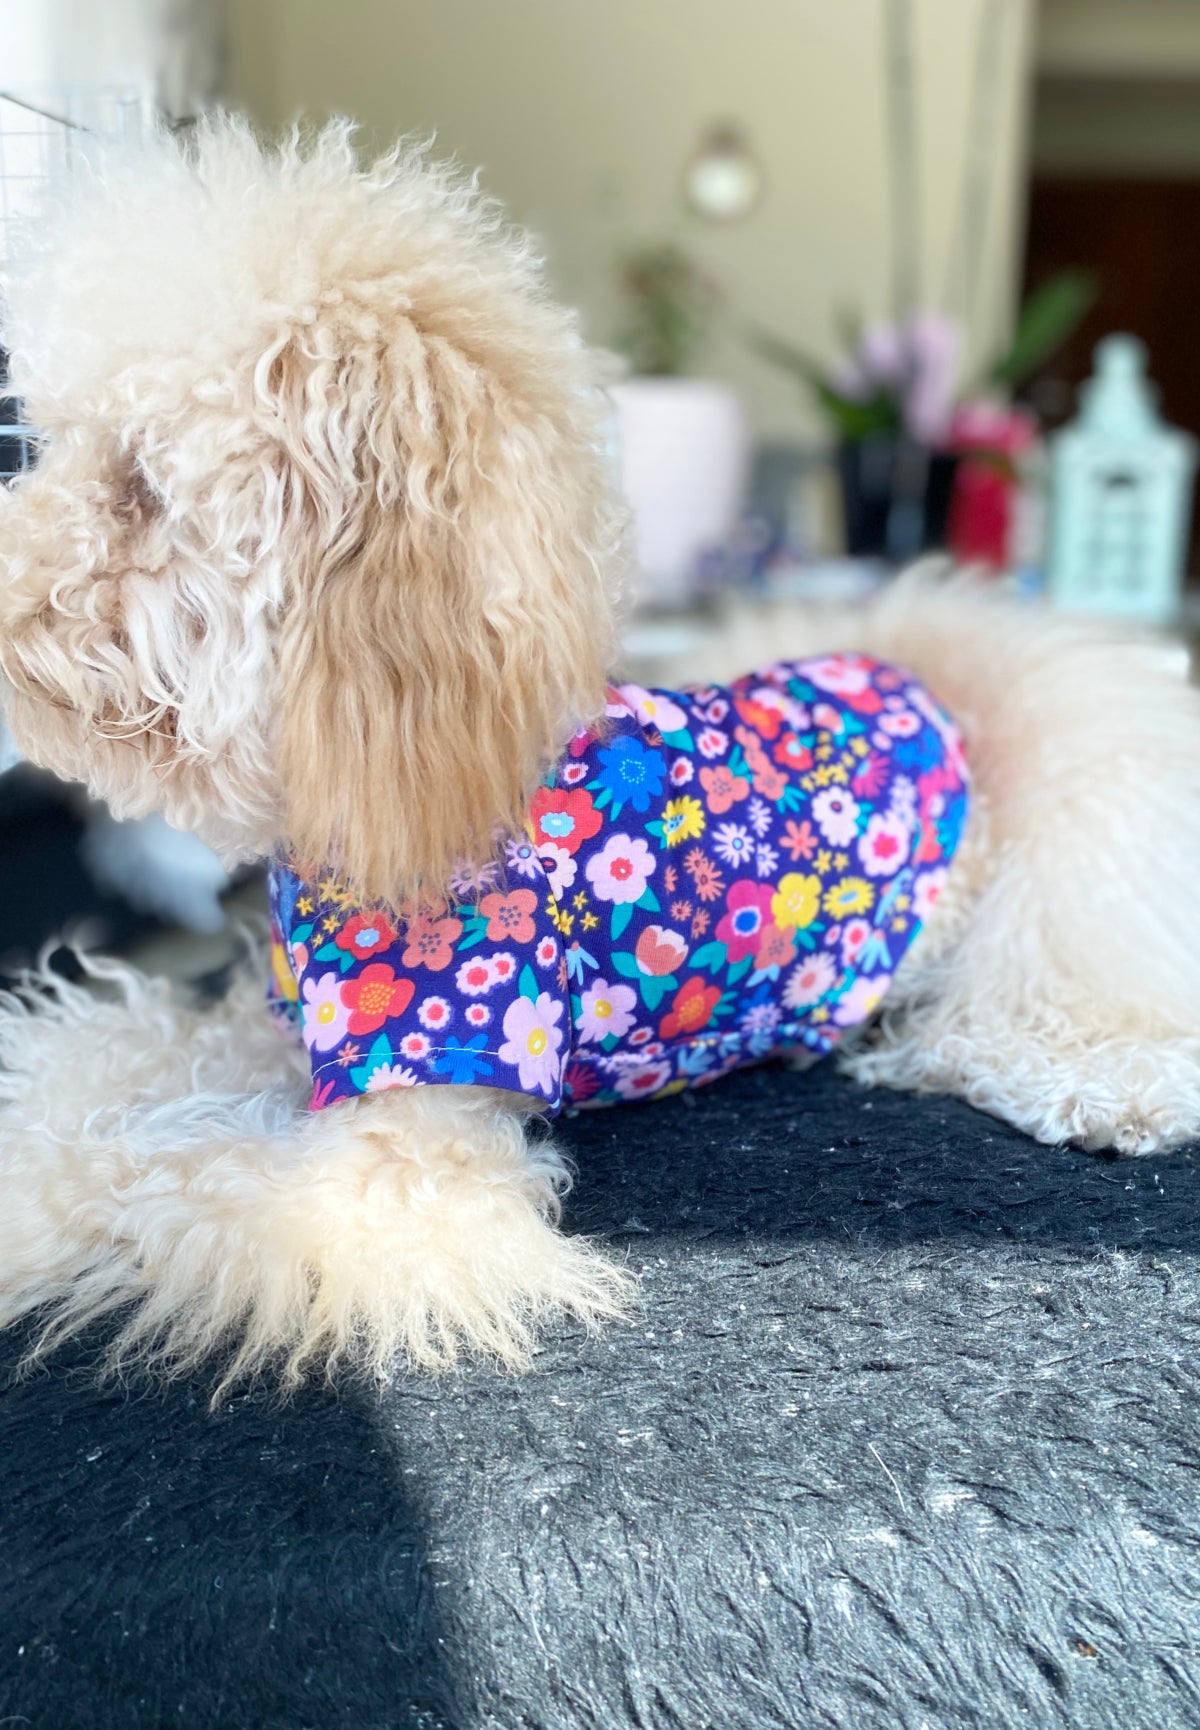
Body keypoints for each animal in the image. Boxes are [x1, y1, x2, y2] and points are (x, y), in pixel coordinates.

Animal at [2, 121, 1200, 1390]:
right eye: (47, 444)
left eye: (139, 483)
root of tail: (942, 669)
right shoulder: (285, 1030)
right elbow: (95, 1062)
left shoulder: (398, 1176)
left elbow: (133, 1171)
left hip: (1068, 886)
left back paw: (1105, 1088)